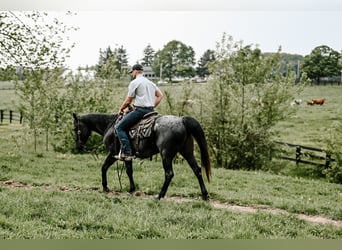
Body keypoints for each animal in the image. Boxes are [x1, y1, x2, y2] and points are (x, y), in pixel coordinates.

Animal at [72, 112, 211, 200]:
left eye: (75, 129)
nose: (78, 146)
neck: (110, 126)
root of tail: (182, 120)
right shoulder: (127, 156)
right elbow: (129, 171)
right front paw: (131, 189)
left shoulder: (113, 153)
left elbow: (104, 167)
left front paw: (106, 187)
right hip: (187, 152)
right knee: (197, 170)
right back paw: (204, 195)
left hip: (166, 155)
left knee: (169, 174)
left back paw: (160, 195)